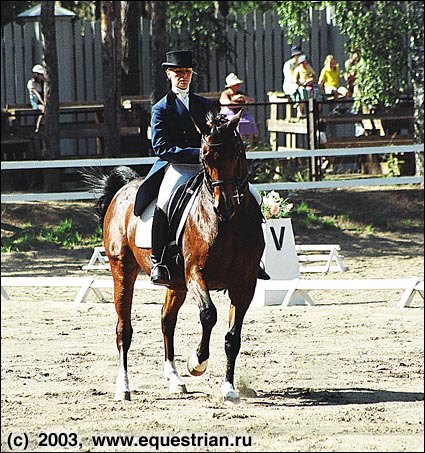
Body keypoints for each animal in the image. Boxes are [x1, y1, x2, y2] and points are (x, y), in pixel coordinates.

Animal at [90, 111, 264, 404]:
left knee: (166, 321)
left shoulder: (245, 283)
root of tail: (123, 189)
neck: (230, 224)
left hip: (176, 283)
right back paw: (123, 387)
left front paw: (228, 388)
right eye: (204, 157)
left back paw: (174, 379)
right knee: (124, 329)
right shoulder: (195, 274)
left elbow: (233, 337)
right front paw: (197, 362)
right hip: (123, 270)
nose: (223, 206)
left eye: (236, 153)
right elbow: (208, 314)